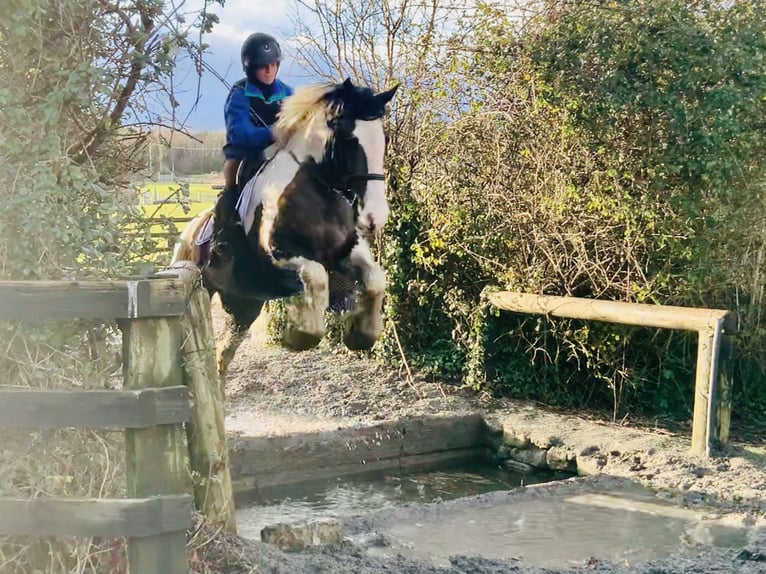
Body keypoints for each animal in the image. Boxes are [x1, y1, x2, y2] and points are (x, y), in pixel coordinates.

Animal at [172, 79, 400, 380]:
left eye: (382, 139)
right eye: (351, 140)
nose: (376, 217)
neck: (317, 189)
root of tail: (187, 234)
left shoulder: (347, 251)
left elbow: (375, 279)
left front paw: (363, 334)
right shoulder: (278, 253)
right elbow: (316, 277)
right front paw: (301, 334)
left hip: (243, 304)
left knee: (223, 352)